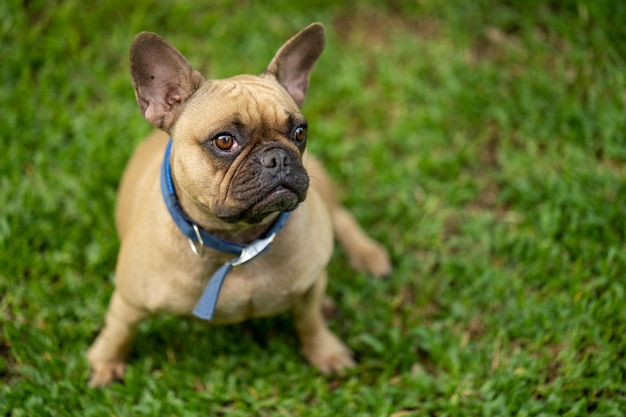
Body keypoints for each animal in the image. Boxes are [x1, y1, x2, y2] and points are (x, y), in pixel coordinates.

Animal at [86, 23, 390, 386]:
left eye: (300, 132)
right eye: (224, 141)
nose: (277, 158)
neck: (239, 242)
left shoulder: (309, 288)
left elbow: (310, 321)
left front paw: (326, 352)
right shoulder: (129, 299)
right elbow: (119, 330)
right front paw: (105, 363)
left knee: (341, 217)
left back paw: (368, 256)